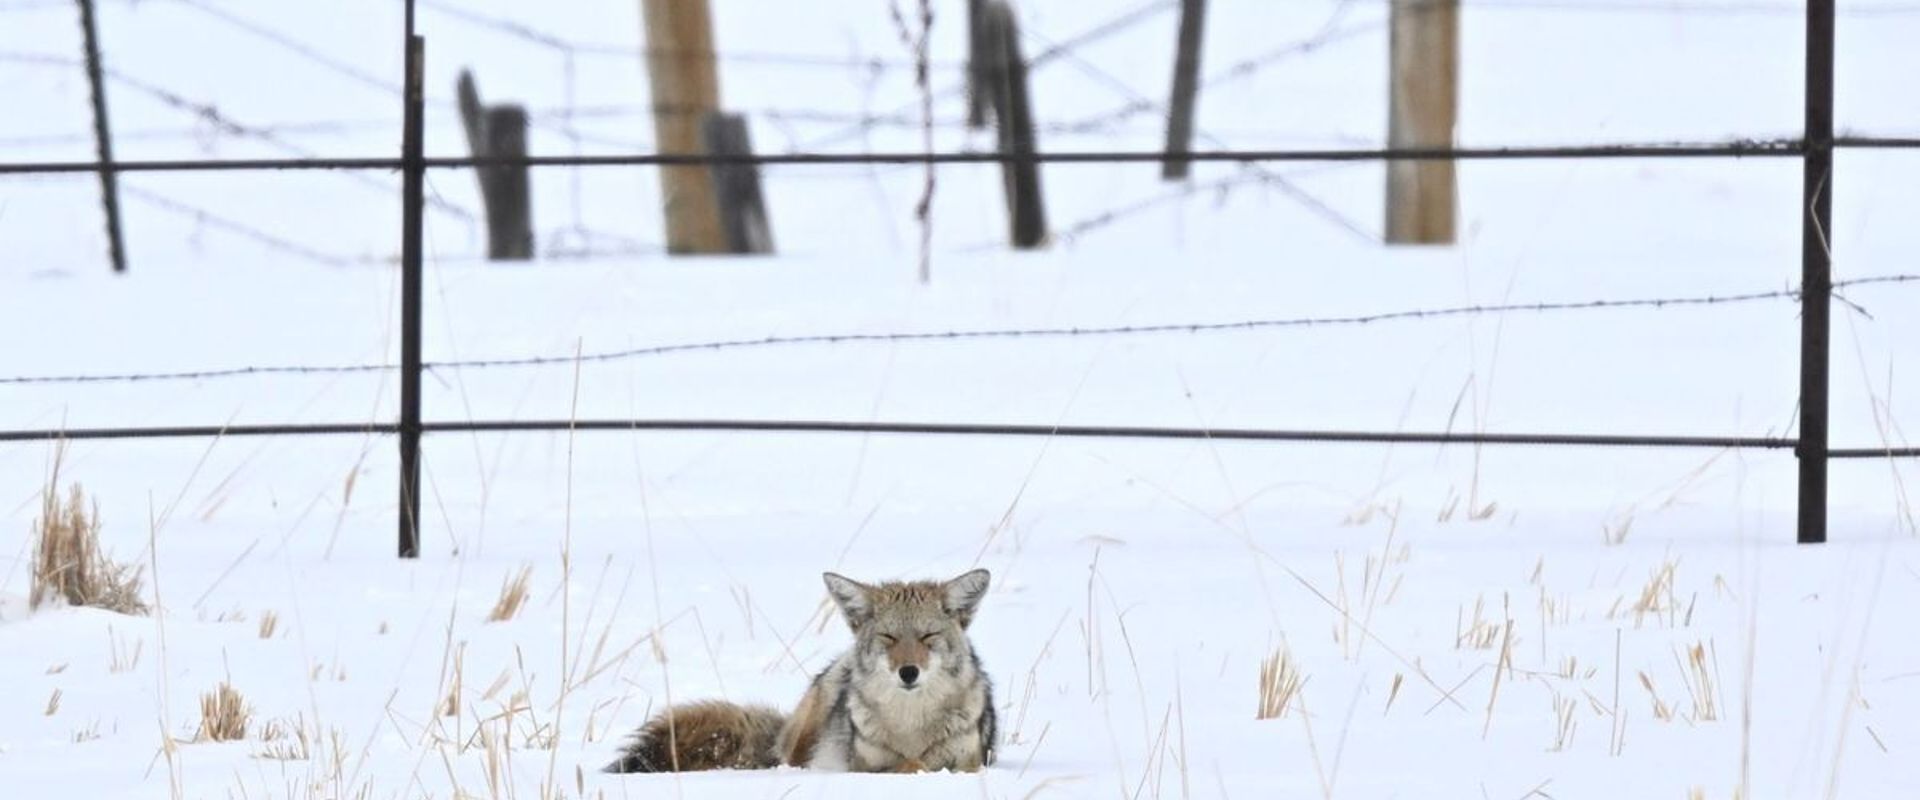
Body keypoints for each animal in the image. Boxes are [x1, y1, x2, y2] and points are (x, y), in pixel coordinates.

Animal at [607, 568, 997, 774]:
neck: (911, 725)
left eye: (928, 637)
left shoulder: (966, 763)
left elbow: (923, 764)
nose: (909, 672)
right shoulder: (865, 766)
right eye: (889, 637)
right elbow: (903, 766)